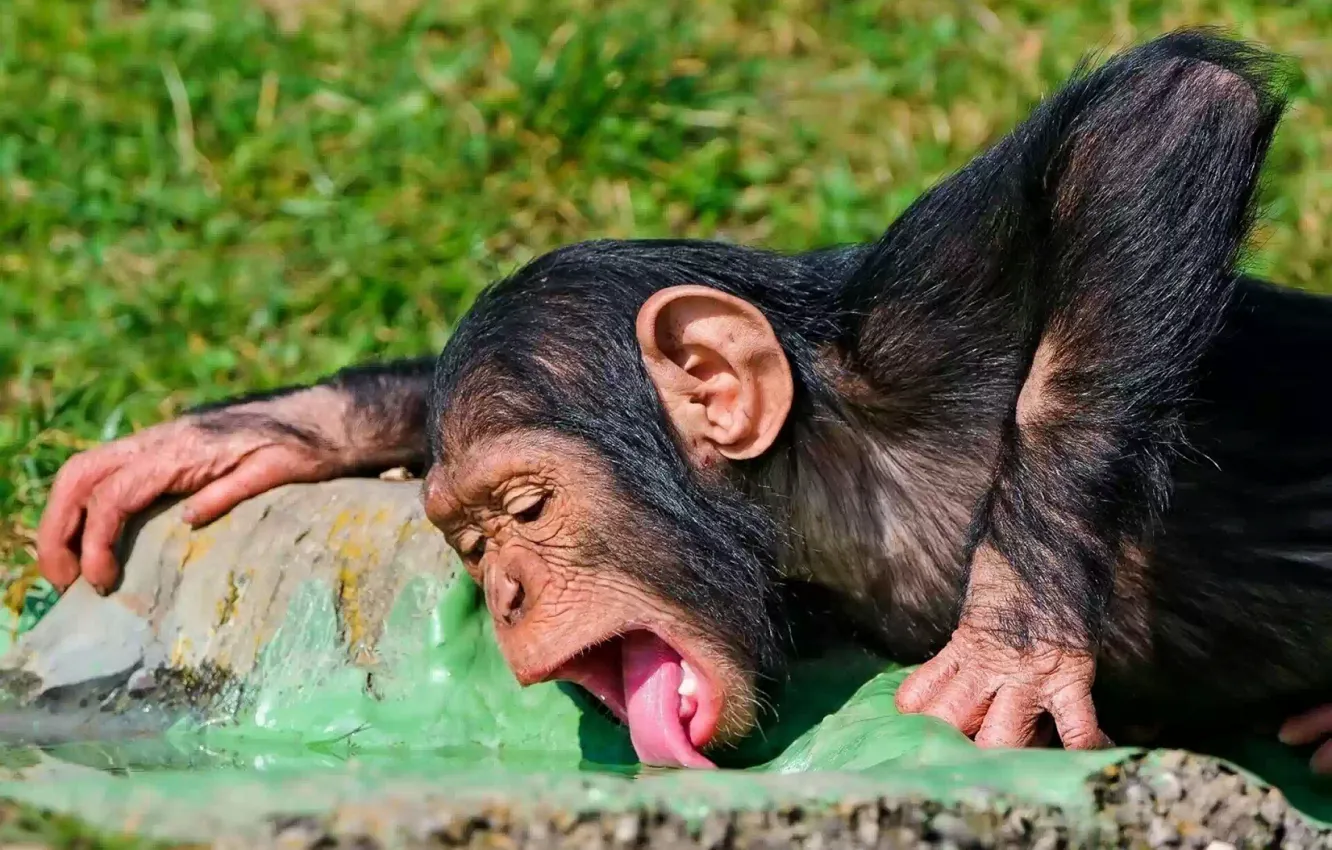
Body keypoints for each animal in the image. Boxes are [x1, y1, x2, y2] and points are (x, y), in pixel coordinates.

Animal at [33, 30, 1332, 774]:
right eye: (469, 539)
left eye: (528, 508)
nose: (505, 592)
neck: (818, 487)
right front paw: (236, 436)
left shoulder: (930, 329)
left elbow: (1162, 116)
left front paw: (1009, 643)